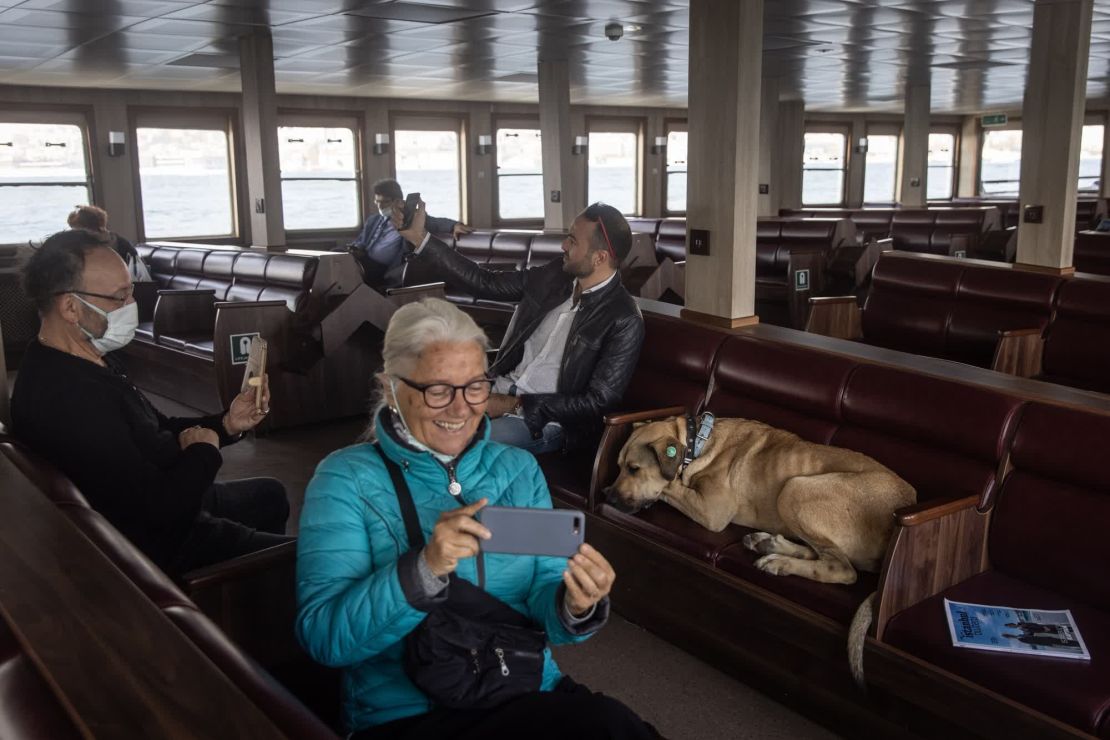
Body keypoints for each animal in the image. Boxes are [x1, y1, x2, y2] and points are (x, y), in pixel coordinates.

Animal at [603, 417, 914, 585]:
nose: (608, 496)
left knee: (842, 569)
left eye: (634, 469)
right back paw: (770, 545)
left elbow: (670, 486)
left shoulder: (712, 510)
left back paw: (780, 563)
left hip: (794, 488)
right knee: (824, 554)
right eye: (618, 466)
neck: (696, 443)